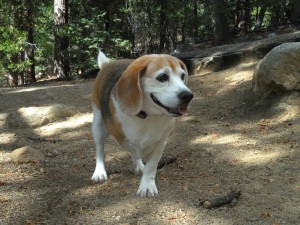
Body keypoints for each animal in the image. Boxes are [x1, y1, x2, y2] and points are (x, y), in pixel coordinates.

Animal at [91, 51, 193, 197]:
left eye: (183, 76)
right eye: (162, 77)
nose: (188, 96)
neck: (147, 115)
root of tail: (108, 64)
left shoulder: (161, 141)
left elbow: (151, 165)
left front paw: (147, 185)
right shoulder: (121, 136)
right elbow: (134, 148)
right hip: (98, 124)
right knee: (100, 149)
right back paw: (99, 171)